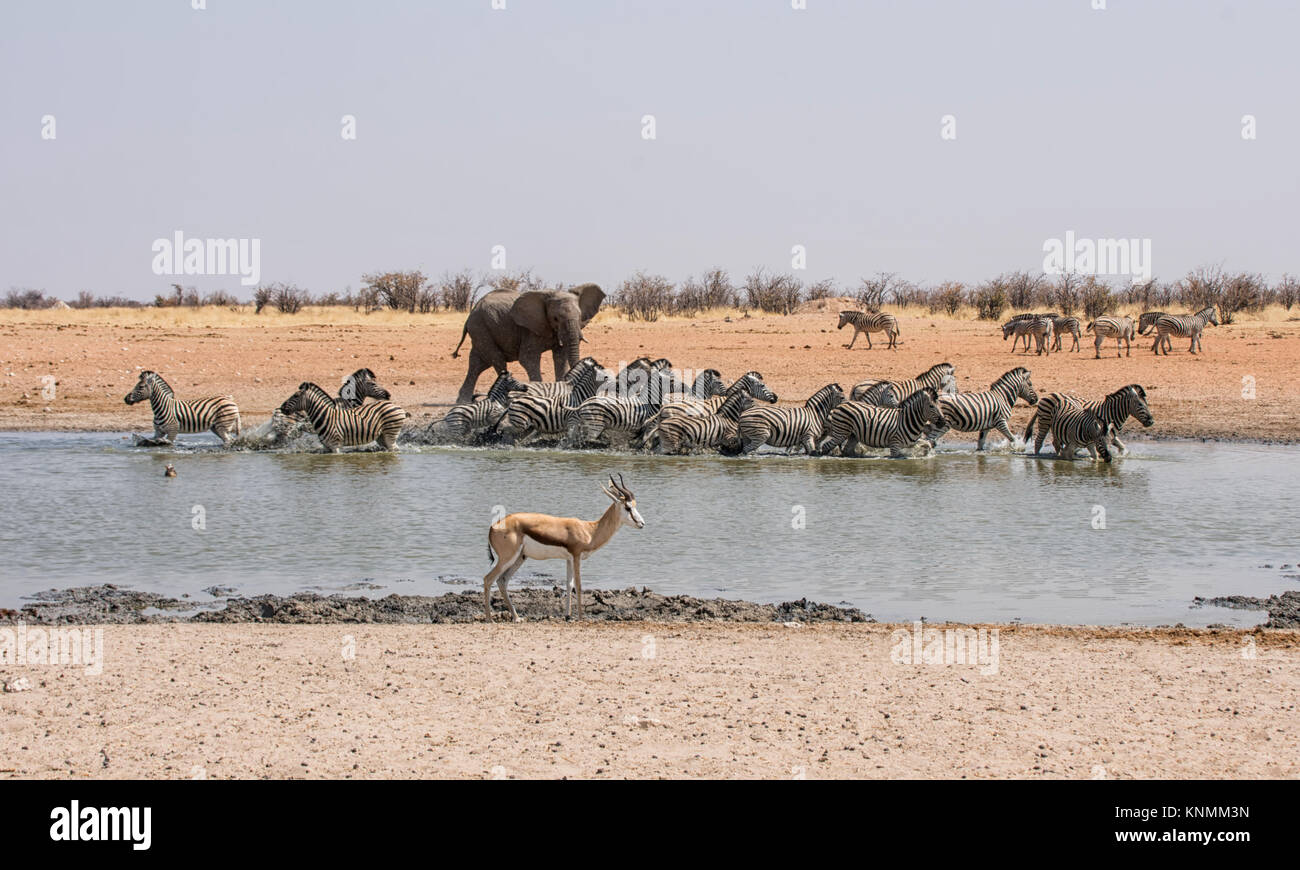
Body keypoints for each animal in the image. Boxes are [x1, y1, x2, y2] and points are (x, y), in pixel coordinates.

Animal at [452, 283, 603, 403]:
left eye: (580, 316)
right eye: (555, 318)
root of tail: (471, 311)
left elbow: (560, 357)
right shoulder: (529, 329)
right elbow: (528, 358)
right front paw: (539, 395)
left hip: (481, 331)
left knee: (477, 364)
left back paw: (463, 401)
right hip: (481, 328)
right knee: (497, 360)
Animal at [811, 384, 946, 457]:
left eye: (939, 405)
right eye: (931, 406)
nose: (943, 422)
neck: (908, 419)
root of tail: (842, 404)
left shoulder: (912, 442)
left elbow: (927, 444)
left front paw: (927, 453)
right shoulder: (895, 445)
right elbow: (898, 455)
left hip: (853, 435)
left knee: (846, 450)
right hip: (841, 432)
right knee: (827, 445)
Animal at [1019, 384, 1154, 455]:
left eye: (1147, 404)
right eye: (1140, 405)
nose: (1151, 421)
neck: (1111, 413)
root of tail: (1048, 395)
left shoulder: (1112, 435)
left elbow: (1122, 446)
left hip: (1056, 425)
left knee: (1055, 442)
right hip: (1045, 421)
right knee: (1039, 441)